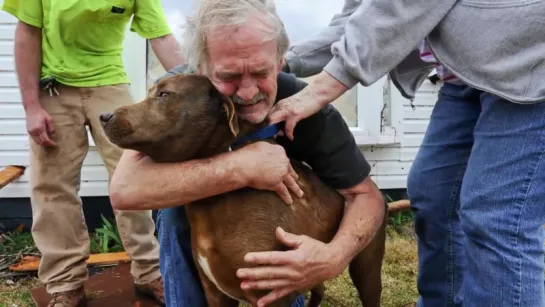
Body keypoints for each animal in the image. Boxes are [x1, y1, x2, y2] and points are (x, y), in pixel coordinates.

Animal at [99, 73, 386, 306]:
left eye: (165, 94)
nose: (104, 116)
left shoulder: (271, 293)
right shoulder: (215, 294)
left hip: (367, 267)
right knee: (319, 288)